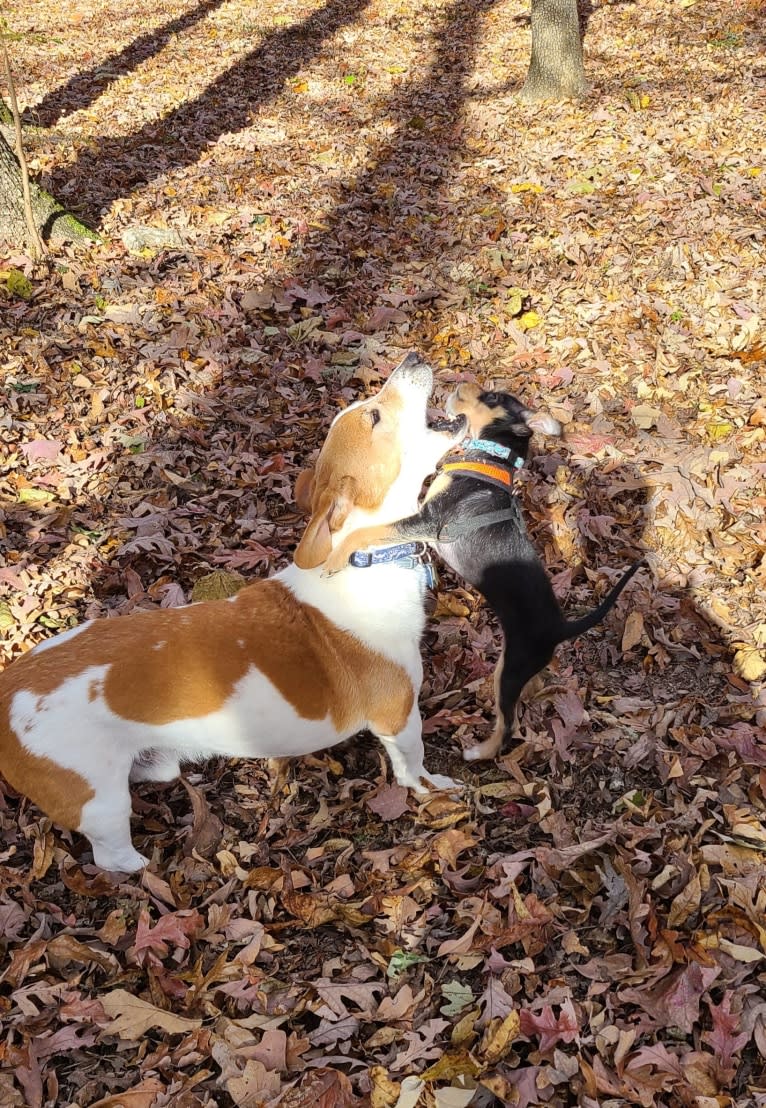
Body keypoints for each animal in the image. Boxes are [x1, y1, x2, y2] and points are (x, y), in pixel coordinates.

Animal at [0, 354, 463, 873]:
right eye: (376, 416)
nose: (413, 358)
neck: (364, 558)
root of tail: (7, 692)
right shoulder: (397, 718)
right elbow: (414, 765)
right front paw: (433, 788)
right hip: (101, 803)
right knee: (111, 856)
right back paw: (147, 868)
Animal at [325, 383, 642, 762]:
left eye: (493, 398)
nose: (460, 384)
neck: (490, 459)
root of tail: (560, 628)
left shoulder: (427, 521)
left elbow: (370, 531)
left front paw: (334, 557)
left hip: (510, 669)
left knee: (508, 726)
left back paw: (479, 752)